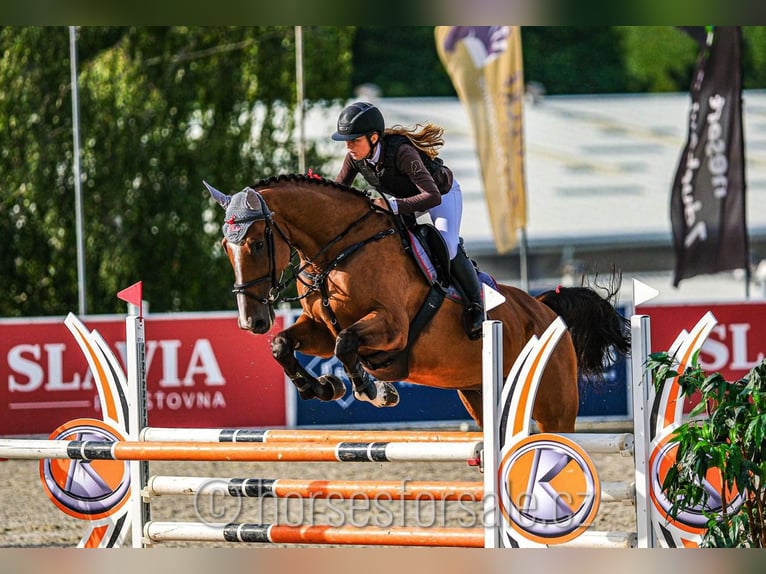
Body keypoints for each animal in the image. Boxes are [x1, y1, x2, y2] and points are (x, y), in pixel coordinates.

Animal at [204, 174, 631, 432]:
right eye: (225, 245)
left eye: (257, 244)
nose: (251, 321)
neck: (340, 251)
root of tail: (545, 310)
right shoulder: (320, 330)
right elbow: (284, 345)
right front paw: (324, 387)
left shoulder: (392, 327)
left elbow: (346, 345)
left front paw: (373, 391)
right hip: (478, 392)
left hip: (554, 405)